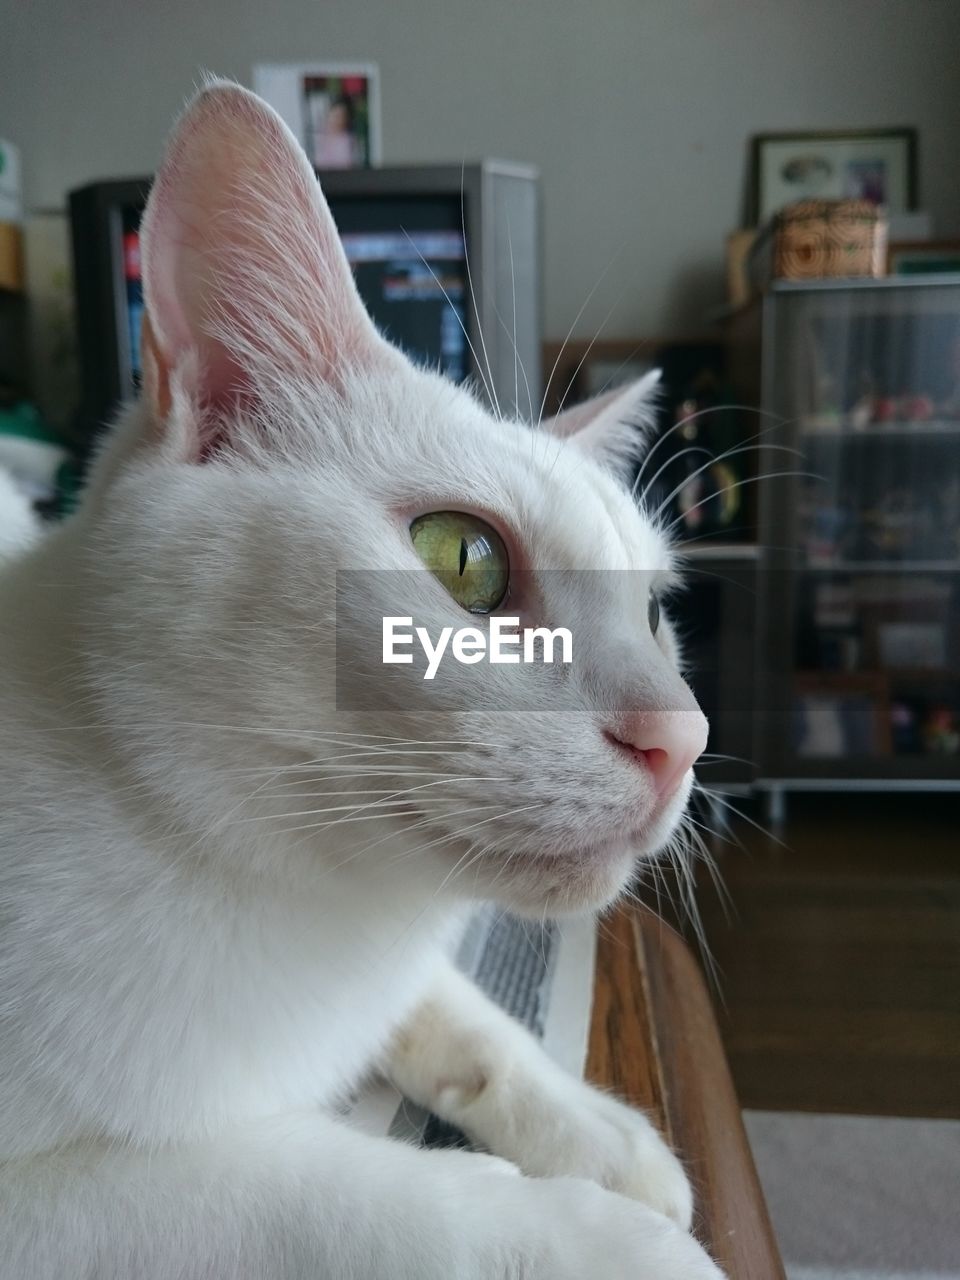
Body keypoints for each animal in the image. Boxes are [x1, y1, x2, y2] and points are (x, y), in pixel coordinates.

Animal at [0, 82, 721, 1280]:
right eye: (464, 559)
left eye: (657, 611)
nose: (683, 742)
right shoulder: (59, 1204)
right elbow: (345, 1200)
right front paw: (610, 1242)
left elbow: (460, 1008)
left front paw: (595, 1127)